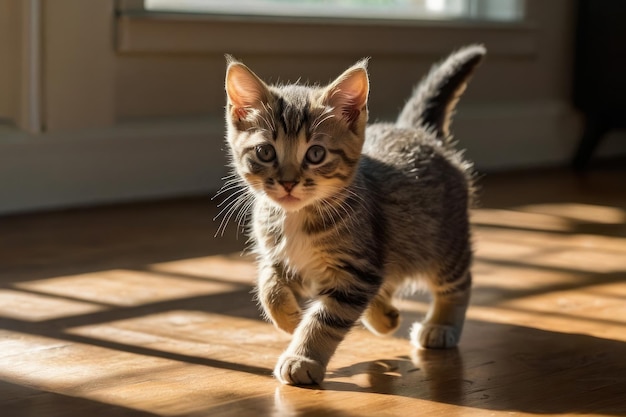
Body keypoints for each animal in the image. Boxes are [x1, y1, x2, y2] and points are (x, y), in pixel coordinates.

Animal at [222, 45, 486, 384]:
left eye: (316, 154)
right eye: (265, 152)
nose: (288, 182)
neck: (296, 216)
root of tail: (418, 132)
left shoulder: (354, 273)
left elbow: (325, 319)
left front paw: (302, 357)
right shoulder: (283, 257)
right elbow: (268, 284)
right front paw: (289, 317)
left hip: (444, 244)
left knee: (458, 282)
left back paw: (441, 326)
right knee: (385, 278)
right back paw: (383, 316)